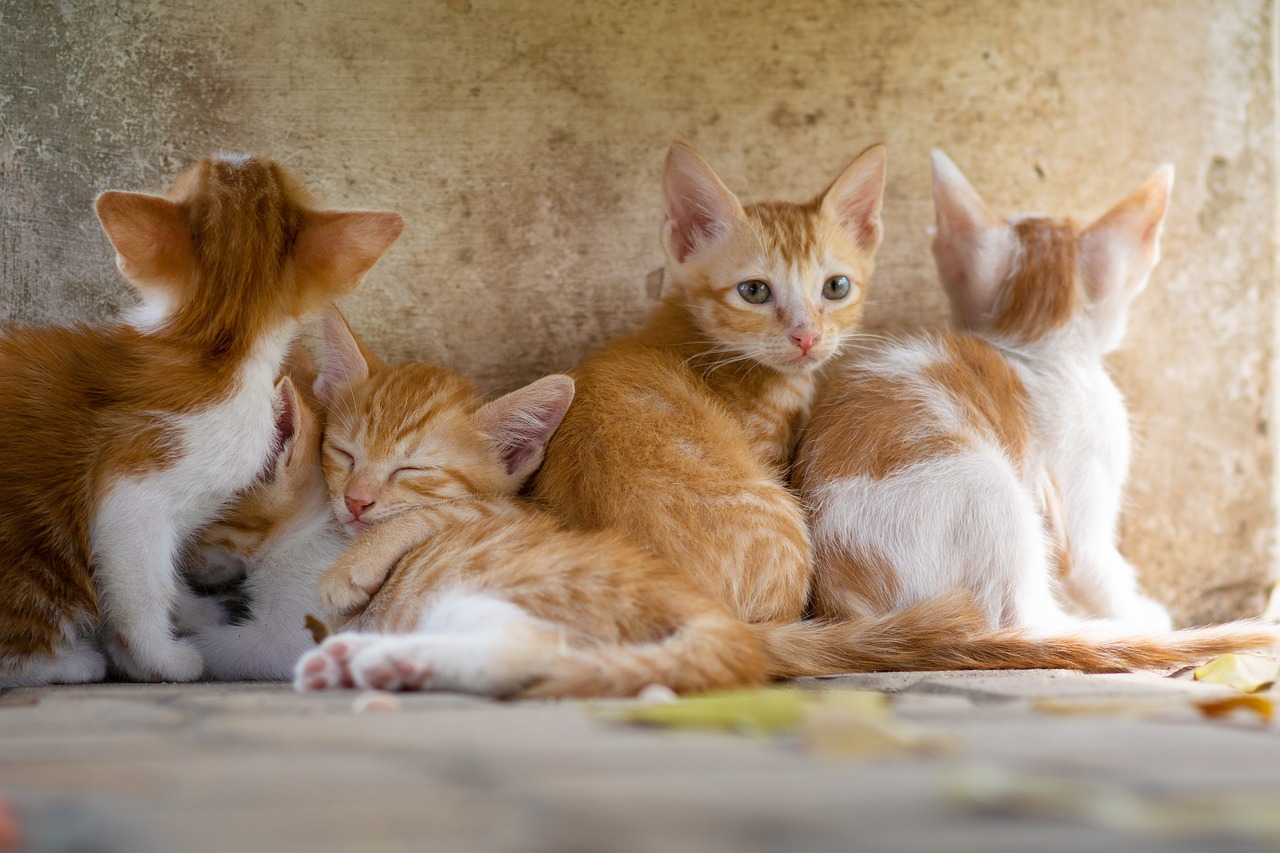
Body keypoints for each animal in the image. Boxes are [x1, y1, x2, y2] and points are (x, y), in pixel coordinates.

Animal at [0, 154, 399, 686]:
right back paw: (70, 662)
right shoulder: (135, 485)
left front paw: (188, 615)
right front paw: (163, 658)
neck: (217, 345)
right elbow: (141, 587)